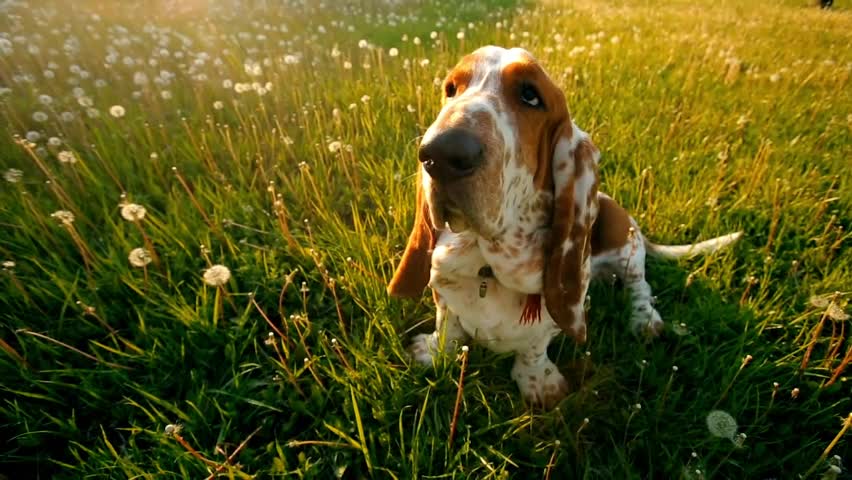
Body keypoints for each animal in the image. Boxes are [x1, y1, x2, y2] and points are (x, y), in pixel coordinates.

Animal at [386, 46, 740, 408]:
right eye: (451, 89)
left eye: (530, 95)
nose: (439, 153)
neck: (487, 266)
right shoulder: (443, 289)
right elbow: (448, 324)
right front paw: (435, 351)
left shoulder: (550, 318)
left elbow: (534, 346)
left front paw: (539, 383)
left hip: (622, 235)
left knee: (639, 284)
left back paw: (645, 320)